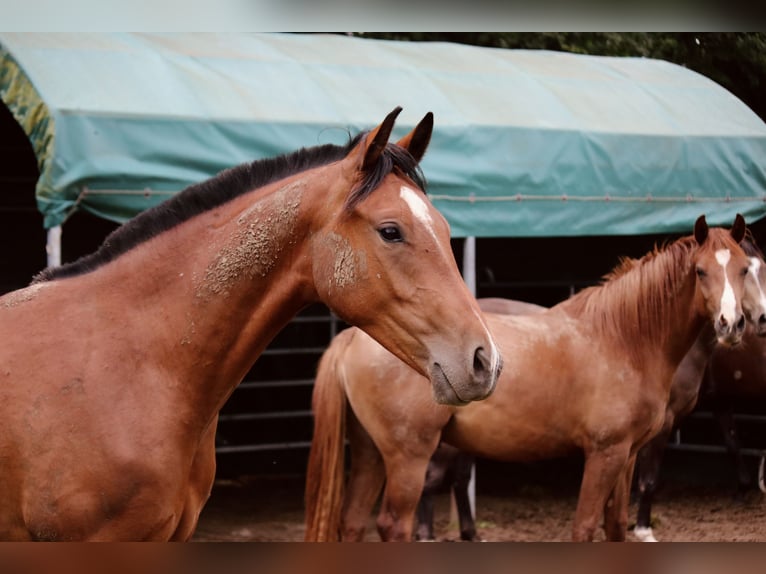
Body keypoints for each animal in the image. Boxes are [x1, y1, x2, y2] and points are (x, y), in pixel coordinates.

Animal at [304, 216, 752, 542]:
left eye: (745, 269)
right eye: (700, 271)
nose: (732, 324)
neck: (623, 338)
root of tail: (352, 337)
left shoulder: (626, 455)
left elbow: (615, 527)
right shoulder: (604, 453)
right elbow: (585, 527)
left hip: (370, 453)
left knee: (353, 522)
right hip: (408, 457)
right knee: (393, 526)